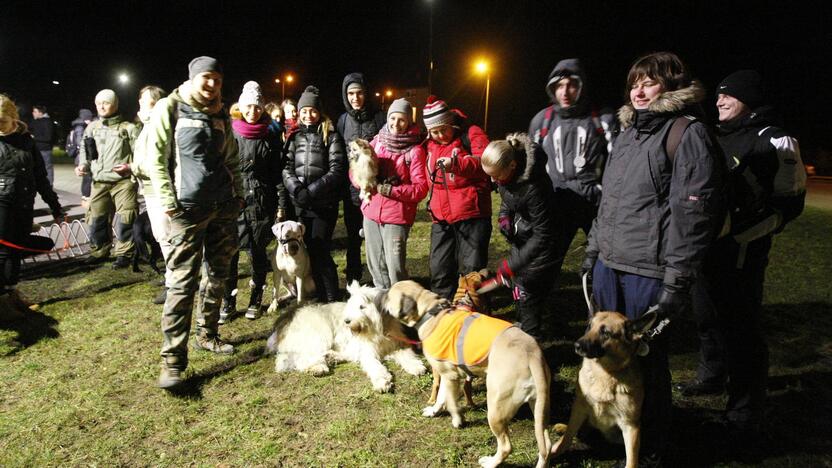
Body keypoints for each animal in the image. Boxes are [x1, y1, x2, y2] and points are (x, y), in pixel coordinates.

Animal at [264, 282, 426, 392]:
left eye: (361, 307)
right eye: (351, 306)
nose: (346, 321)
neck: (379, 330)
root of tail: (287, 316)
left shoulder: (397, 344)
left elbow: (407, 355)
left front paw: (416, 367)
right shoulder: (367, 351)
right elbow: (374, 365)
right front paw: (382, 381)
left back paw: (332, 357)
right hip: (319, 333)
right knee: (303, 359)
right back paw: (318, 367)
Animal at [376, 282, 552, 468]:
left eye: (388, 296)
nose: (378, 295)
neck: (431, 312)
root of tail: (531, 354)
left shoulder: (450, 376)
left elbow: (452, 403)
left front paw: (457, 420)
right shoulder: (445, 375)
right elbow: (441, 398)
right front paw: (434, 411)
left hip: (495, 410)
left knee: (506, 447)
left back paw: (490, 462)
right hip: (539, 409)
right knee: (546, 445)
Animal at [548, 310, 660, 468]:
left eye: (606, 332)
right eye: (590, 326)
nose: (577, 345)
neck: (605, 373)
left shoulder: (630, 426)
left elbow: (632, 459)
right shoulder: (579, 407)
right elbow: (568, 436)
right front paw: (555, 452)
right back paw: (562, 427)